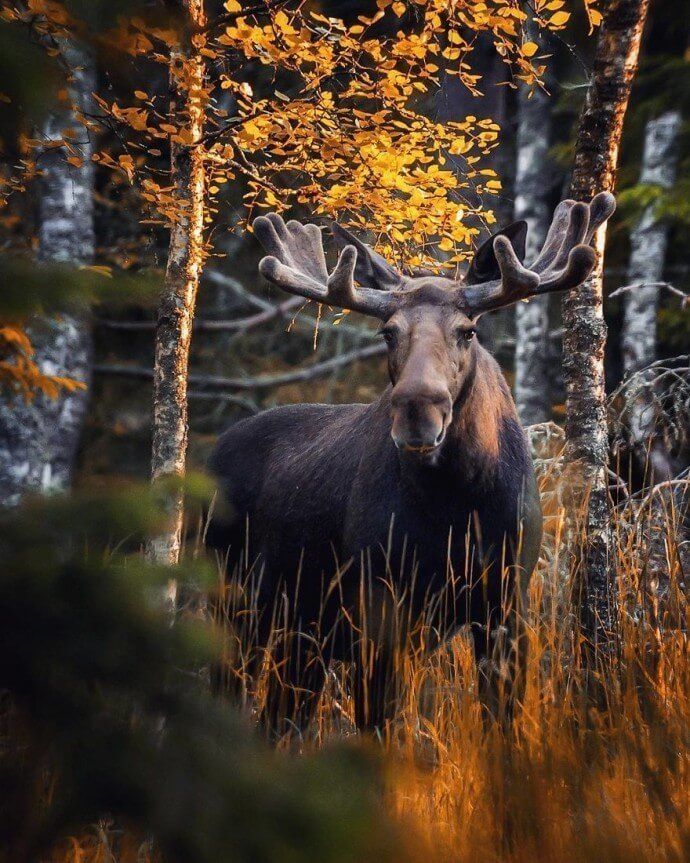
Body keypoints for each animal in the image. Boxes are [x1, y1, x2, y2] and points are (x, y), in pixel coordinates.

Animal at [204, 194, 612, 736]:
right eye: (387, 331)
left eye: (468, 330)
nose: (419, 411)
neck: (455, 504)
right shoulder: (378, 599)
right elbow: (382, 727)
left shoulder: (507, 598)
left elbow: (501, 724)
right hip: (232, 600)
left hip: (301, 632)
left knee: (278, 718)